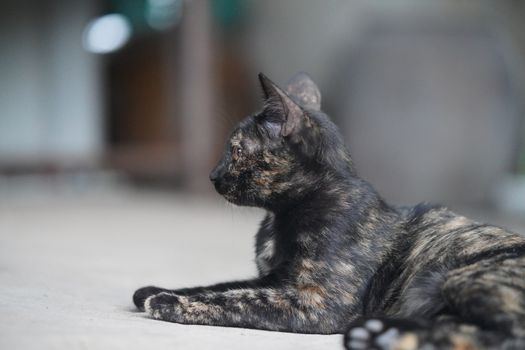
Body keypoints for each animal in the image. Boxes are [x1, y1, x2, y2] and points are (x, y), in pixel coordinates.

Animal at [134, 72, 524, 350]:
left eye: (236, 150)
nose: (212, 175)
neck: (284, 217)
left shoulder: (317, 302)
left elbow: (237, 301)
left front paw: (168, 301)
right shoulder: (275, 279)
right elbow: (224, 285)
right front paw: (153, 290)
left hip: (459, 278)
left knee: (506, 335)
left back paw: (388, 338)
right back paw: (379, 335)